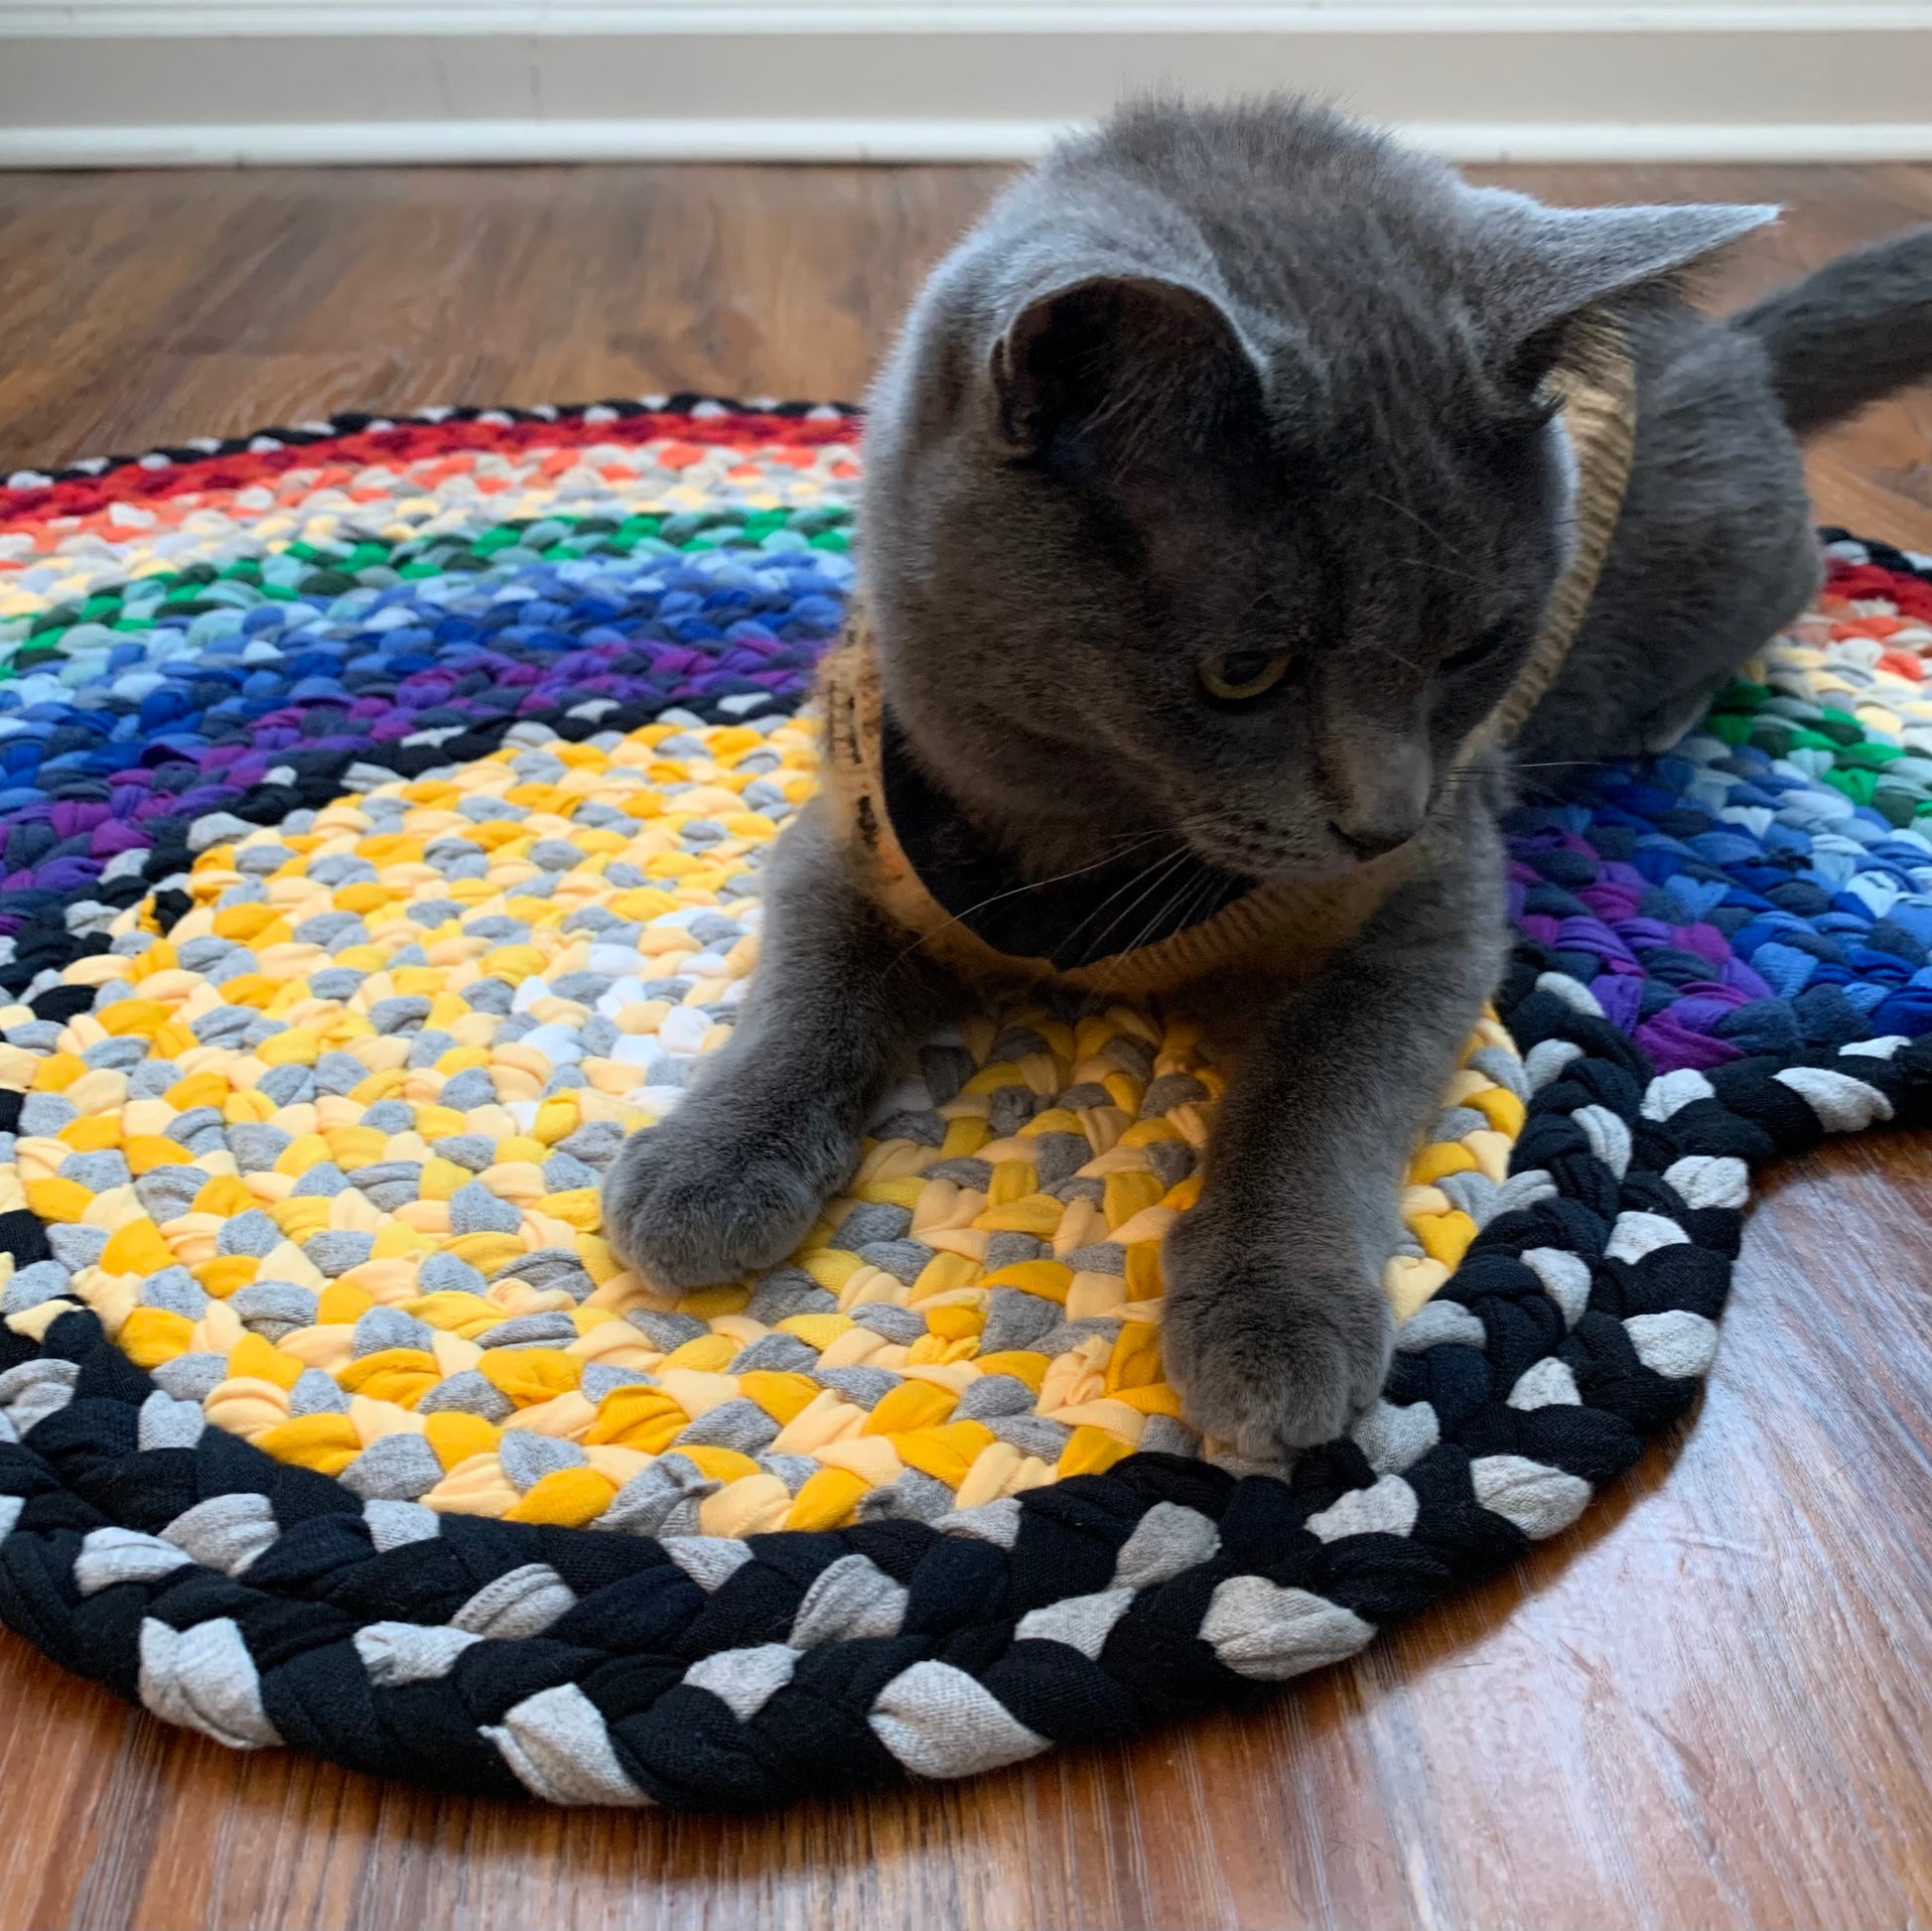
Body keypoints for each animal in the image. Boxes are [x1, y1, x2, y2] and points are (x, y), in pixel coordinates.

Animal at [607, 101, 1932, 1460]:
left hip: (1726, 566)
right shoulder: (853, 823)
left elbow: (1318, 1085)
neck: (1091, 831)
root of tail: (1727, 339)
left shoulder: (1431, 898)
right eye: (1242, 671)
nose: (1383, 816)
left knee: (1794, 581)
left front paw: (1272, 1312)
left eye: (1474, 646)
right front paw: (708, 1164)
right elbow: (804, 989)